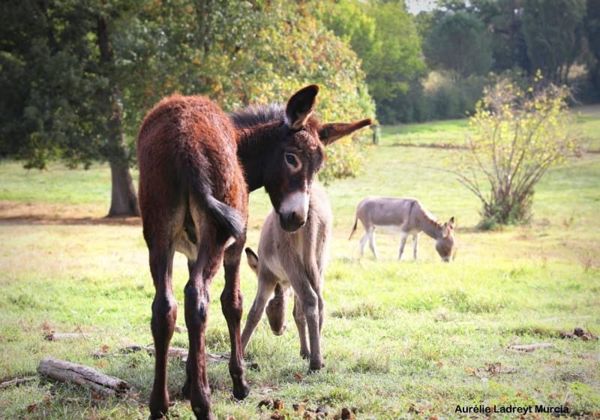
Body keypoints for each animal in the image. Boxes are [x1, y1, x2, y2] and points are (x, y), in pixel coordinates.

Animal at [241, 184, 330, 370]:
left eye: (272, 305)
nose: (277, 330)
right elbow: (298, 315)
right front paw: (305, 352)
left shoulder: (266, 277)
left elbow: (254, 312)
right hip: (318, 262)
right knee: (319, 302)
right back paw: (318, 356)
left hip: (291, 261)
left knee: (311, 299)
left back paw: (315, 364)